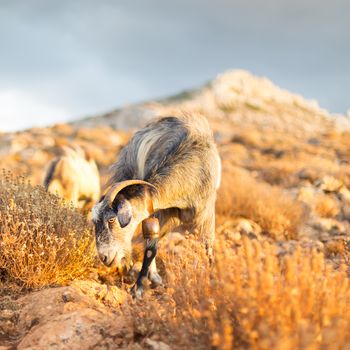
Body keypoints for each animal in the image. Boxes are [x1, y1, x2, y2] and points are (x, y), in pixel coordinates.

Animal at [91, 113, 221, 298]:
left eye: (111, 219)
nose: (104, 258)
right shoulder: (159, 211)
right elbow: (151, 246)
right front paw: (138, 288)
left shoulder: (206, 213)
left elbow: (207, 246)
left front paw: (210, 279)